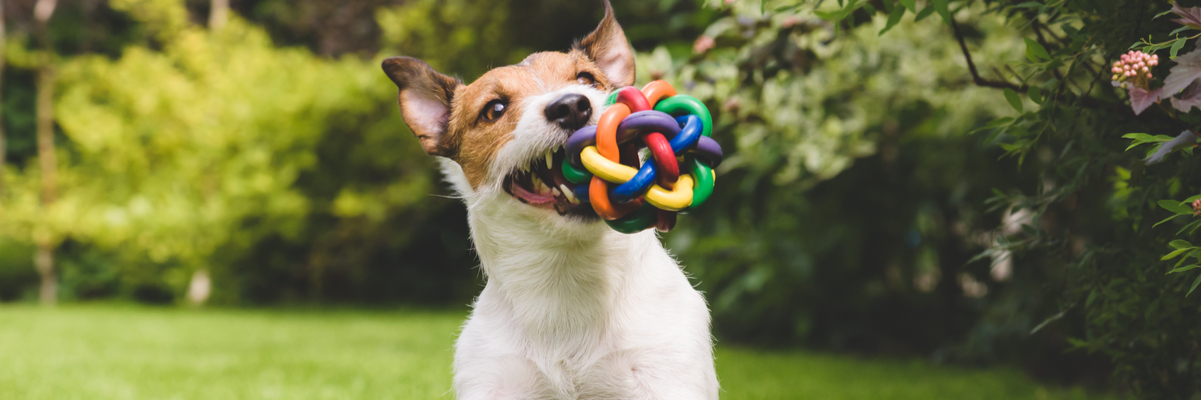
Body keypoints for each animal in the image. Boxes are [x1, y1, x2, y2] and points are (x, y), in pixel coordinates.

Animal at [384, 2, 715, 396]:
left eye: (587, 80)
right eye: (494, 109)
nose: (571, 106)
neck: (567, 274)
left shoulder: (665, 368)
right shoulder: (493, 376)